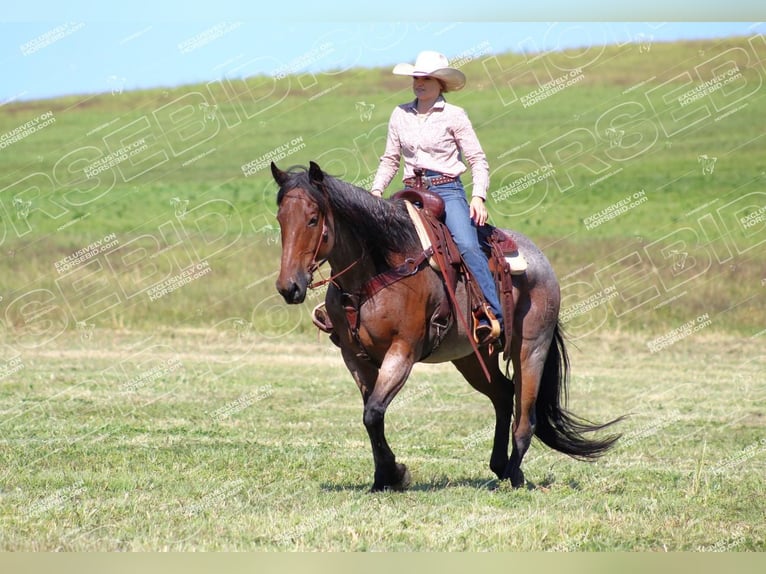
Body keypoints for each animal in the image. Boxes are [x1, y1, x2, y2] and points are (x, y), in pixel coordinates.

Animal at [272, 162, 620, 496]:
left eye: (313, 219)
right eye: (280, 219)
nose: (289, 287)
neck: (376, 271)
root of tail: (541, 262)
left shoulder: (403, 352)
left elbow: (373, 412)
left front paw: (394, 474)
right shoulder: (354, 357)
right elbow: (372, 416)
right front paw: (385, 477)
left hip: (531, 349)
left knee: (525, 418)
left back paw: (511, 475)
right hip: (471, 357)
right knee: (504, 394)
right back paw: (502, 468)